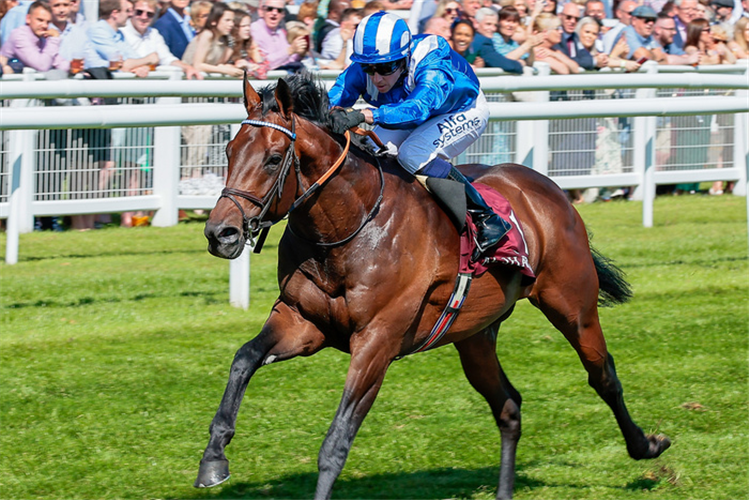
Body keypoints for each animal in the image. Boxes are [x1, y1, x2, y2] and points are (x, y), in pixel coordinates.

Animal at [196, 74, 668, 500]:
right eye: (229, 150)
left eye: (274, 158)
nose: (221, 233)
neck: (351, 226)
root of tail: (548, 189)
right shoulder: (303, 321)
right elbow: (243, 359)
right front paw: (213, 459)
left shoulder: (377, 341)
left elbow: (336, 442)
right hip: (475, 336)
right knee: (509, 406)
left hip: (572, 304)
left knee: (603, 374)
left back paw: (646, 445)